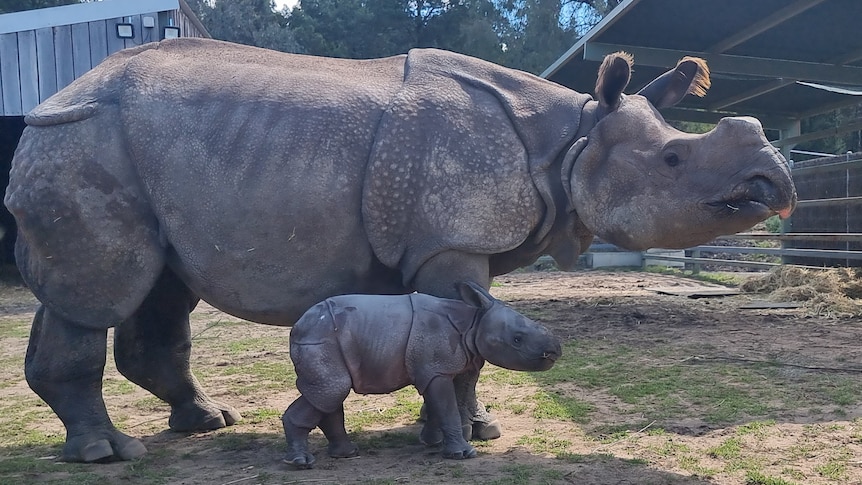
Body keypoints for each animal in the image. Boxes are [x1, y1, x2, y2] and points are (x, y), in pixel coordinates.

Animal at [282, 282, 560, 466]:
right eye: (517, 339)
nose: (555, 351)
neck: (473, 322)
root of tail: (297, 326)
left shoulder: (438, 368)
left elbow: (440, 407)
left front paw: (432, 442)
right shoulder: (436, 369)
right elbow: (447, 408)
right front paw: (463, 454)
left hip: (325, 337)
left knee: (330, 394)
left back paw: (347, 453)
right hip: (320, 338)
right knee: (332, 390)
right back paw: (302, 462)